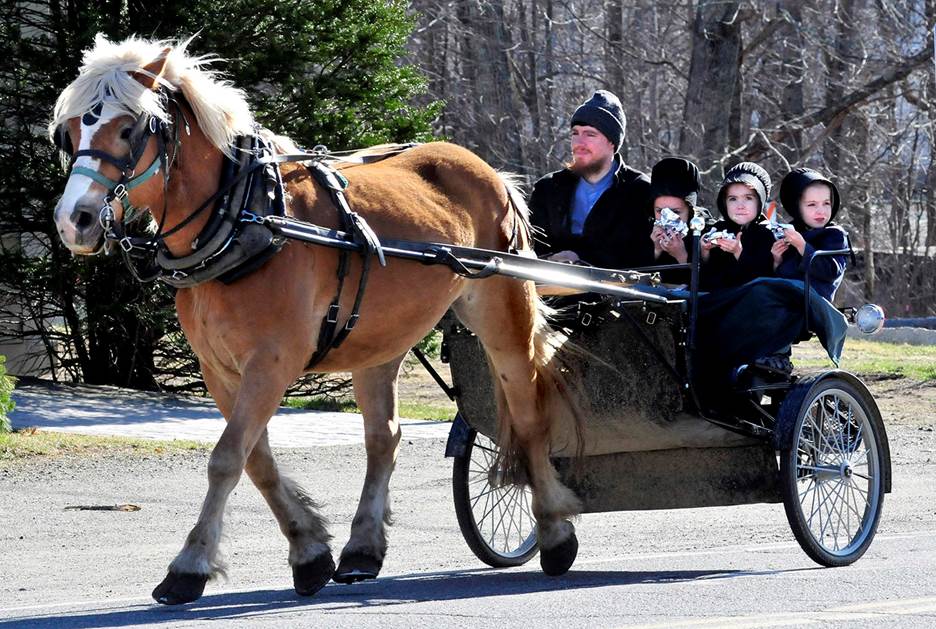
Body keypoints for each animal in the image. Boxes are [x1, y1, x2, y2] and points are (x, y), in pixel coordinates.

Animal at [51, 35, 584, 604]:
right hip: (380, 339)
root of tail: (488, 169)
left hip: (503, 310)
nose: (74, 220)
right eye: (70, 131)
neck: (245, 216)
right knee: (383, 437)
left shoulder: (272, 363)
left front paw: (189, 566)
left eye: (128, 129)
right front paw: (309, 552)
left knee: (527, 413)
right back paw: (362, 549)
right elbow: (255, 461)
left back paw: (554, 531)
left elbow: (226, 458)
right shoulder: (221, 371)